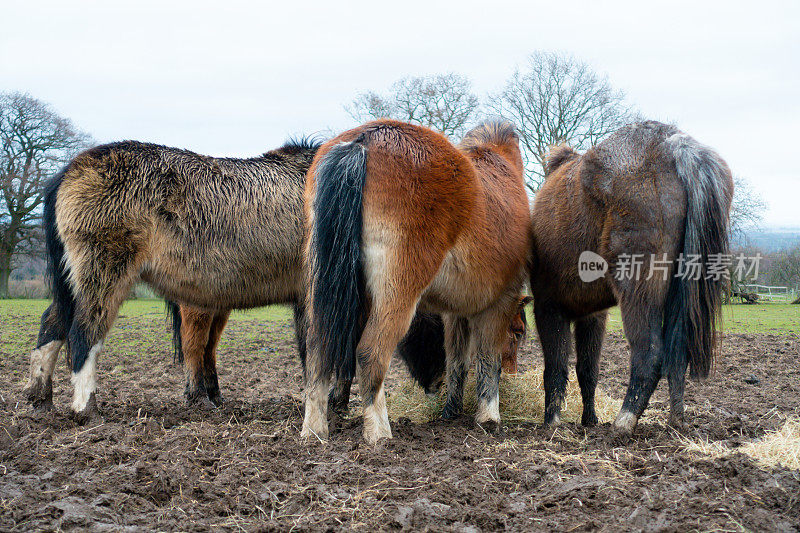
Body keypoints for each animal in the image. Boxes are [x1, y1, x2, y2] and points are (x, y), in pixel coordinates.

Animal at [300, 118, 532, 442]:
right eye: (519, 332)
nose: (514, 375)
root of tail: (364, 140)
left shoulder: (455, 312)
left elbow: (457, 360)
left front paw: (451, 412)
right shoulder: (500, 302)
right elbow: (488, 360)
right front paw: (489, 417)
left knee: (318, 351)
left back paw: (314, 430)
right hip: (397, 294)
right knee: (370, 354)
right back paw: (379, 433)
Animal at [532, 120, 732, 432]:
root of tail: (672, 146)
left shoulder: (549, 309)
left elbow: (555, 368)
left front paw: (552, 422)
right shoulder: (593, 316)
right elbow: (587, 370)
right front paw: (589, 419)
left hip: (637, 294)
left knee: (649, 355)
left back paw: (624, 422)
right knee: (677, 356)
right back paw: (676, 420)